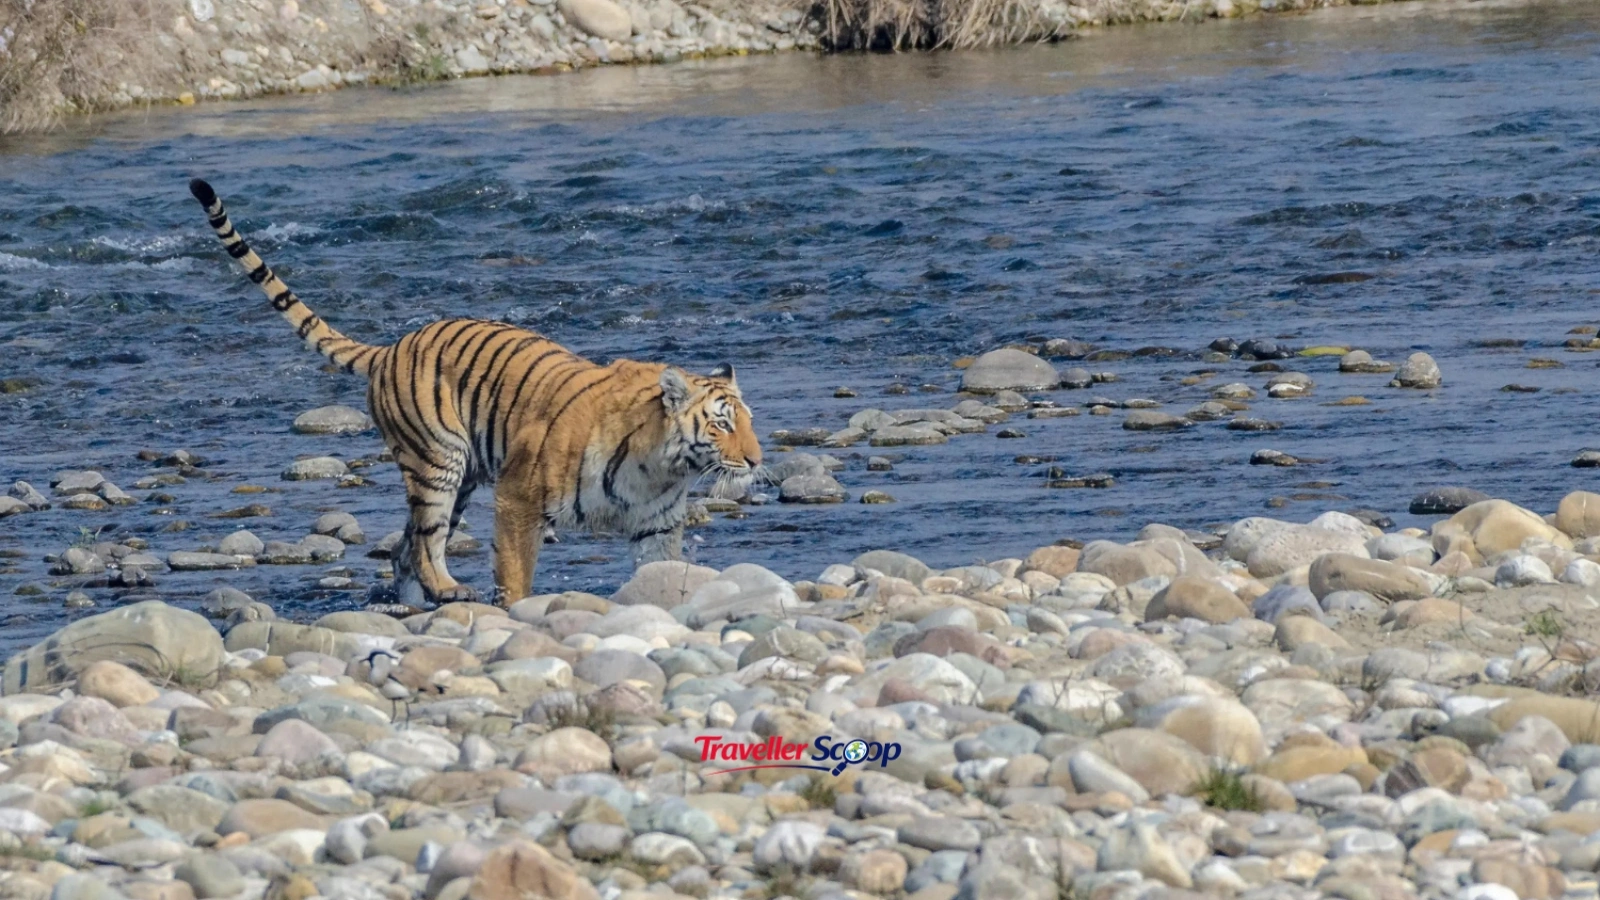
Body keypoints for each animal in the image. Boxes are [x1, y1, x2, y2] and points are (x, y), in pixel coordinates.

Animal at [188, 178, 762, 607]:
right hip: (439, 463)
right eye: (722, 423)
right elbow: (515, 570)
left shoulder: (655, 527)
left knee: (405, 547)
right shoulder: (519, 496)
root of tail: (392, 347)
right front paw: (515, 609)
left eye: (749, 421)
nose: (757, 461)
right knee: (425, 541)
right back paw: (448, 591)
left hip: (458, 475)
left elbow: (660, 574)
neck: (660, 467)